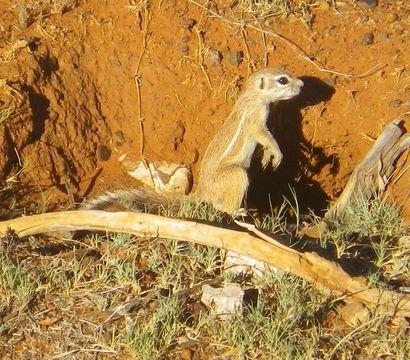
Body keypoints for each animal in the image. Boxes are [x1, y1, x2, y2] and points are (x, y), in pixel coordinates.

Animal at [85, 67, 302, 214]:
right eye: (282, 80)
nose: (301, 84)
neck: (252, 96)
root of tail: (202, 192)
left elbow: (265, 140)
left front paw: (267, 158)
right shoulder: (255, 119)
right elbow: (264, 136)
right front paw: (277, 153)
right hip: (236, 175)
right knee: (224, 205)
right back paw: (237, 211)